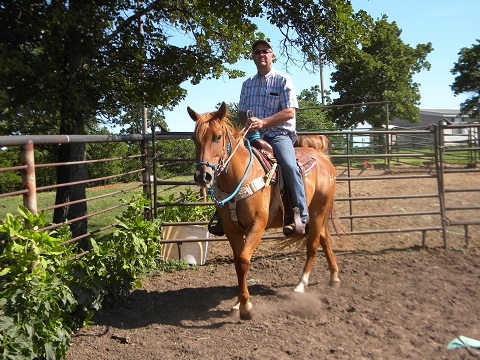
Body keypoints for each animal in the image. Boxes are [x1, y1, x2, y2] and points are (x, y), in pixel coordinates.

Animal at [189, 102, 340, 320]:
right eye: (194, 138)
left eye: (217, 137)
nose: (203, 176)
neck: (240, 176)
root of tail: (324, 159)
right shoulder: (232, 229)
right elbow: (238, 262)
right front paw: (239, 303)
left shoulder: (257, 225)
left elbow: (244, 260)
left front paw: (246, 307)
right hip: (318, 215)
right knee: (324, 238)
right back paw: (334, 277)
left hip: (318, 211)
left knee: (312, 245)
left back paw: (301, 285)